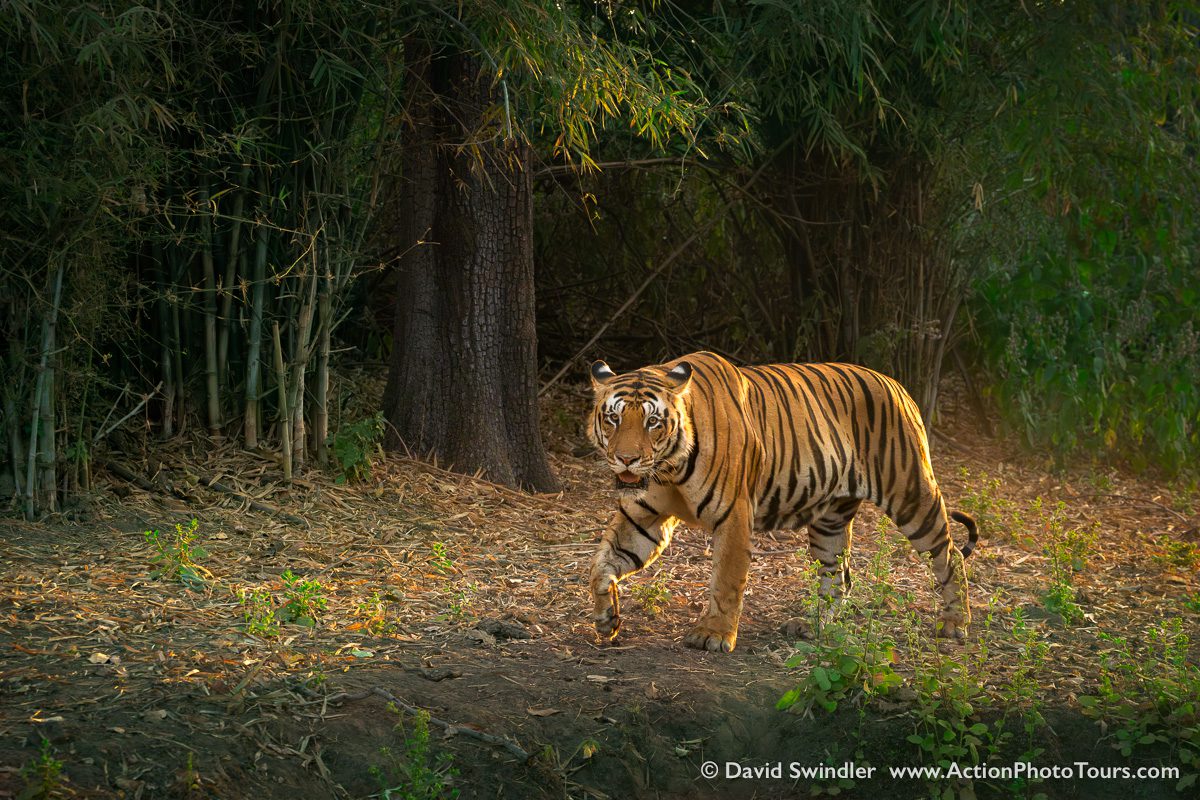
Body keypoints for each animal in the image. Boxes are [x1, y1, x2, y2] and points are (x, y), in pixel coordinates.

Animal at [586, 351, 978, 653]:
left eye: (652, 421)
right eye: (613, 418)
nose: (626, 459)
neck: (668, 468)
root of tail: (898, 387)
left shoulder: (734, 515)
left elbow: (726, 580)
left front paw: (714, 635)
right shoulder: (642, 517)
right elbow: (601, 563)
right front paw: (606, 619)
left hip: (911, 495)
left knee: (949, 555)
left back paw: (955, 624)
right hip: (830, 519)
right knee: (839, 576)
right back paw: (814, 625)